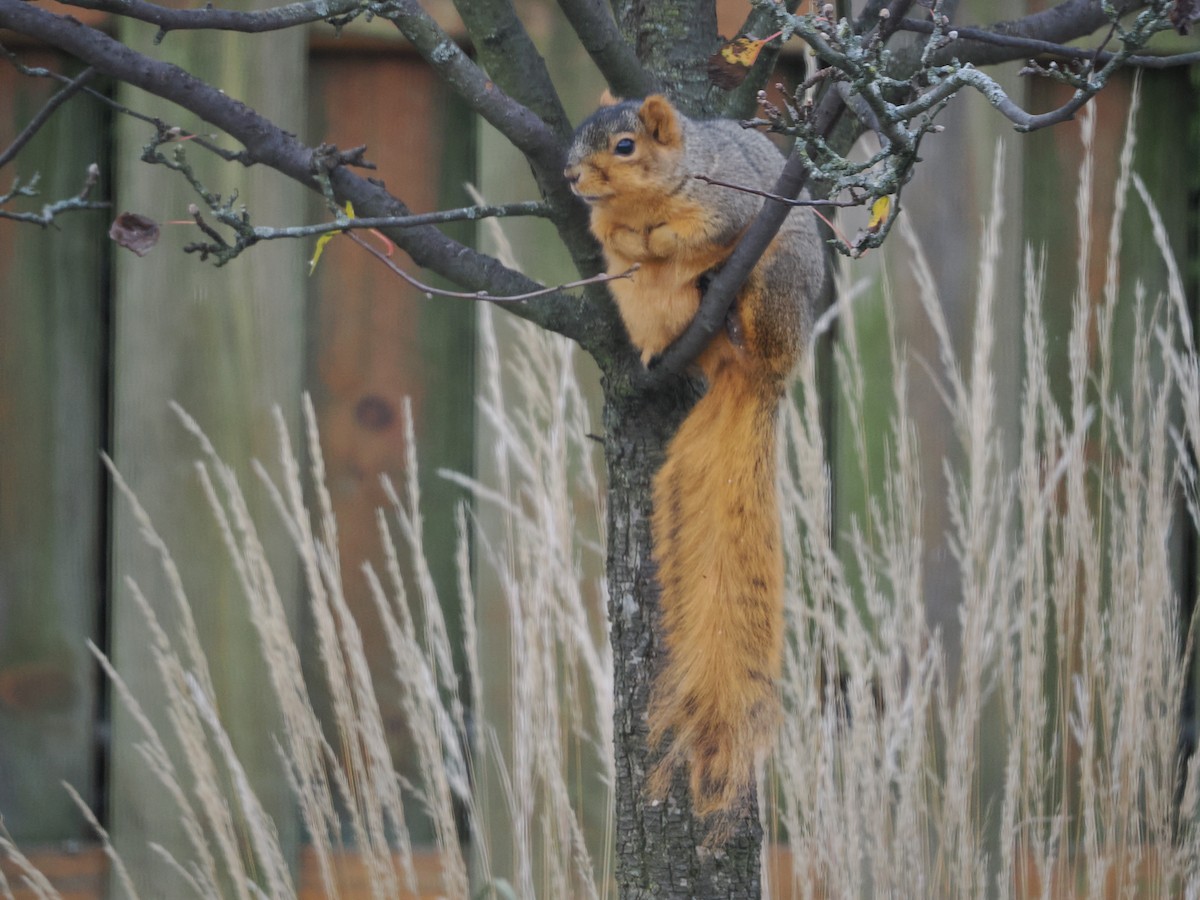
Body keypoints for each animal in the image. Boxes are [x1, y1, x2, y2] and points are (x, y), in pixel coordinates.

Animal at [564, 95, 824, 825]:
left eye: (625, 146)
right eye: (578, 138)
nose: (570, 177)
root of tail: (760, 377)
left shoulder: (729, 204)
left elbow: (696, 232)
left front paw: (658, 241)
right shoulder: (605, 224)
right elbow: (610, 235)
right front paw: (628, 240)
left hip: (776, 280)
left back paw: (729, 309)